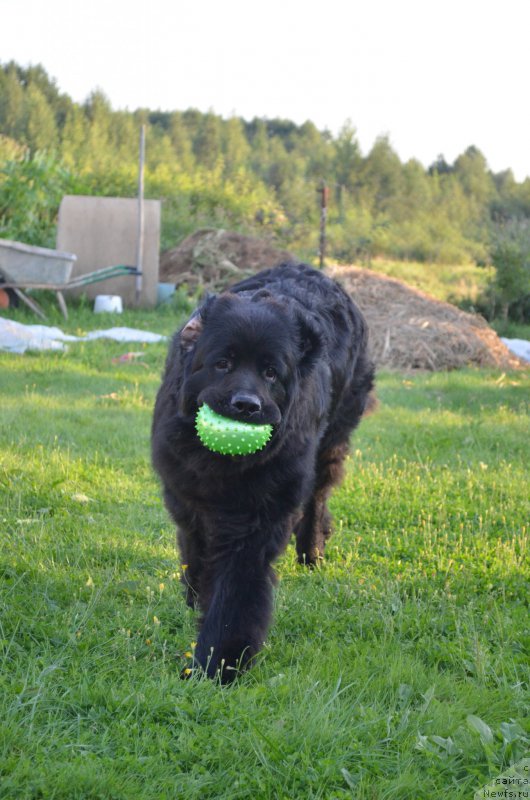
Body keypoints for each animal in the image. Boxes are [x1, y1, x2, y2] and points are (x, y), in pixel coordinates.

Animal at [151, 262, 374, 680]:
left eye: (271, 373)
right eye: (222, 363)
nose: (246, 404)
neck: (224, 468)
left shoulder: (259, 518)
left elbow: (236, 590)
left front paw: (219, 664)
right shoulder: (186, 497)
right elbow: (195, 551)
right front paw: (195, 598)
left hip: (333, 438)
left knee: (317, 498)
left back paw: (312, 553)